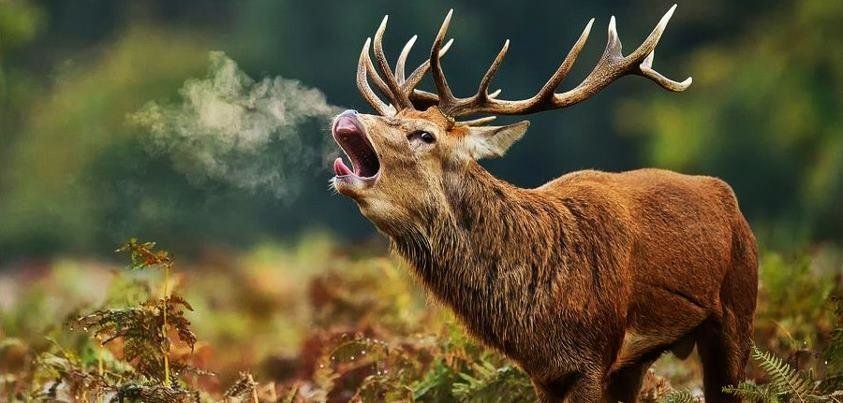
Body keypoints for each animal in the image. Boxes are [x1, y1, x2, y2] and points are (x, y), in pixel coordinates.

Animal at [329, 5, 757, 402]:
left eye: (424, 134)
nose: (348, 115)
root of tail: (727, 197)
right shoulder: (544, 373)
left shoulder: (593, 358)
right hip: (635, 362)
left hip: (738, 312)